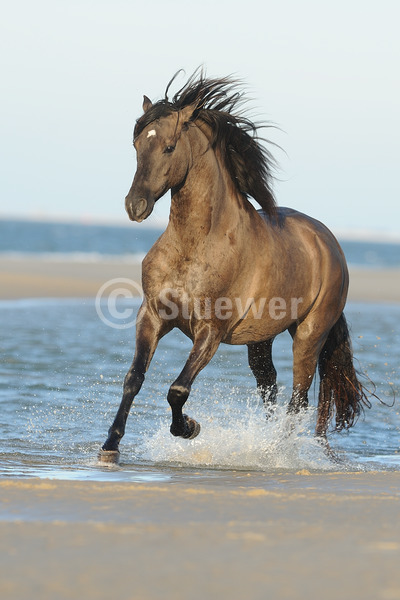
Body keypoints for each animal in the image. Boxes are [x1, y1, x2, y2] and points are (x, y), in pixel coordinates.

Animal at [98, 71, 370, 464]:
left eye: (169, 147)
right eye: (136, 146)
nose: (135, 206)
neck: (194, 244)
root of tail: (329, 244)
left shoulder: (210, 330)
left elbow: (178, 389)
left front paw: (189, 428)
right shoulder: (152, 316)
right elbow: (133, 378)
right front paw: (110, 446)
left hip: (309, 335)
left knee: (298, 399)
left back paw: (277, 454)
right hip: (261, 339)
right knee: (270, 389)